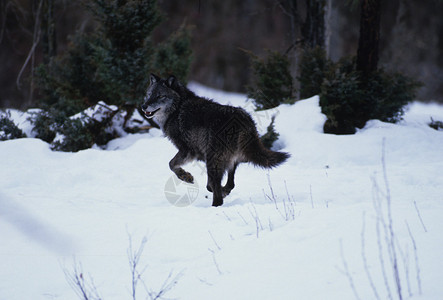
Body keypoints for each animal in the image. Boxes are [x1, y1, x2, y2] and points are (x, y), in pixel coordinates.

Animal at [140, 74, 290, 206]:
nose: (143, 106)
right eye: (149, 95)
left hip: (214, 162)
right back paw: (224, 191)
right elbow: (209, 184)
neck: (177, 109)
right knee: (229, 184)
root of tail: (244, 121)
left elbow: (171, 164)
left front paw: (186, 177)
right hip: (228, 161)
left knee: (218, 194)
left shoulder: (188, 151)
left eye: (160, 96)